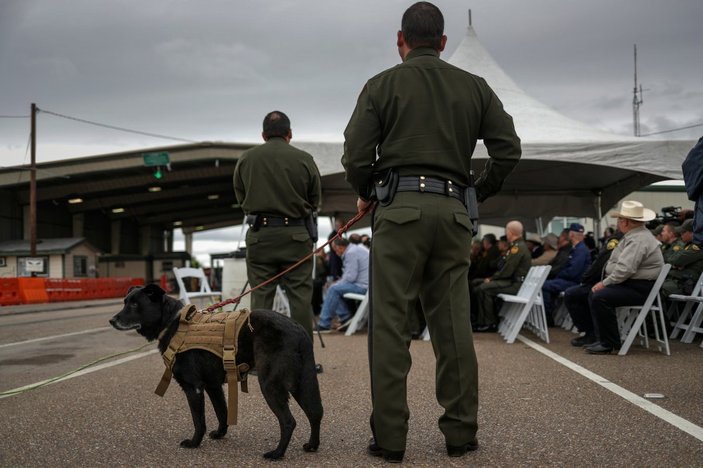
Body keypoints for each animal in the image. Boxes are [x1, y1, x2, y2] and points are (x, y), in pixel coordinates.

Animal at [108, 284, 324, 458]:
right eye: (125, 302)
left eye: (134, 305)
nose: (111, 320)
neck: (174, 324)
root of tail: (299, 330)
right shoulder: (213, 386)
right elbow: (222, 412)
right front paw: (220, 434)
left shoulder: (193, 388)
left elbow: (199, 421)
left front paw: (194, 443)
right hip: (300, 383)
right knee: (315, 413)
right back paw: (312, 446)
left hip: (271, 385)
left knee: (289, 421)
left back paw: (277, 453)